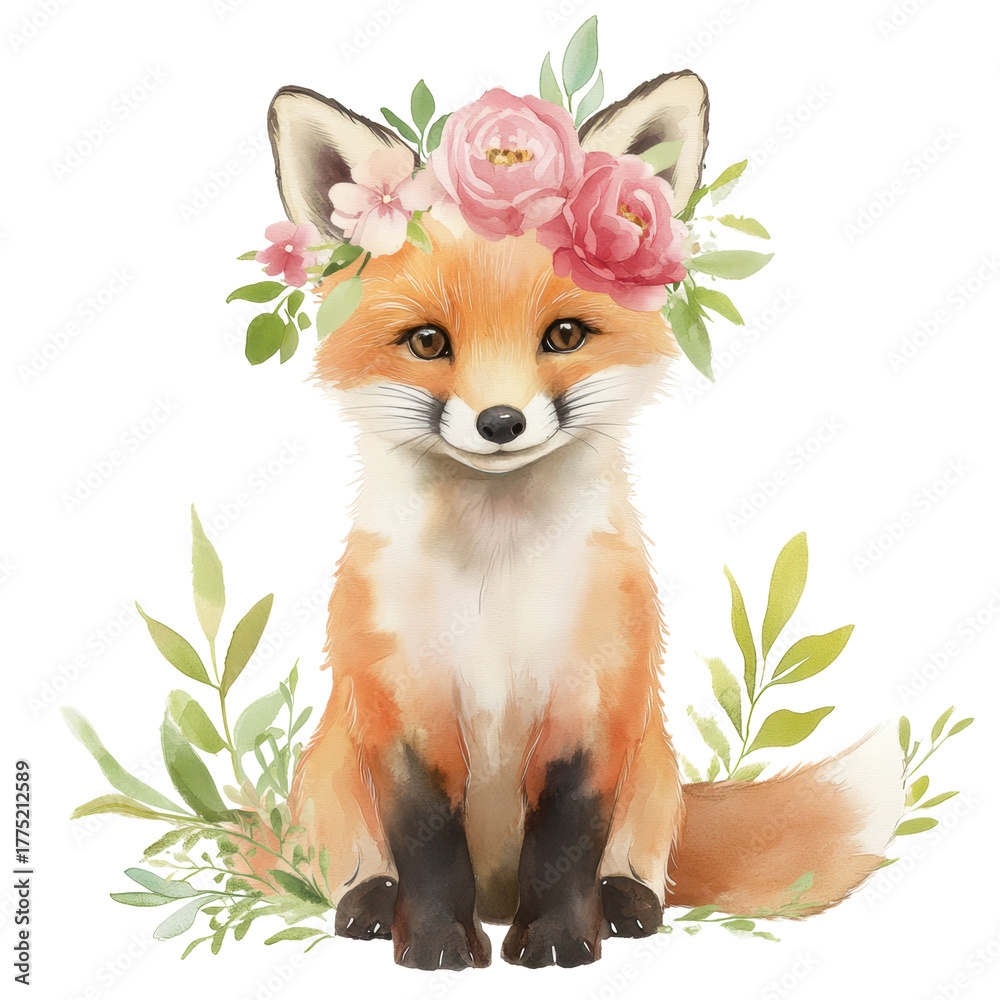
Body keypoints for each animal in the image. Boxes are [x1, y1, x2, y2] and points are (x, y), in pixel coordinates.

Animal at [256, 70, 905, 969]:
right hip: (327, 777)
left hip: (653, 773)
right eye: (427, 343)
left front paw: (562, 941)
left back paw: (626, 904)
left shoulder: (594, 703)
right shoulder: (400, 706)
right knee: (358, 864)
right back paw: (372, 904)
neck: (495, 587)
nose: (499, 422)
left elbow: (566, 842)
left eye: (564, 334)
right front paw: (435, 945)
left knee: (639, 862)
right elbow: (427, 842)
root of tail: (496, 898)